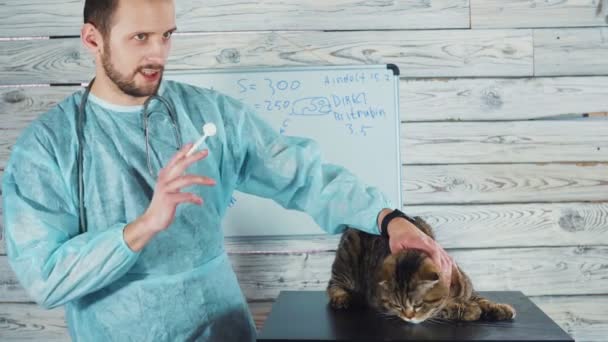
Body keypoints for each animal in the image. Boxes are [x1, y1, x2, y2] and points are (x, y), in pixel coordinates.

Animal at [328, 215, 516, 324]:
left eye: (418, 303)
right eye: (398, 305)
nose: (408, 315)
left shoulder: (466, 287)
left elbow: (482, 298)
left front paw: (497, 308)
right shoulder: (381, 303)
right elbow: (441, 309)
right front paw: (470, 309)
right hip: (346, 261)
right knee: (332, 284)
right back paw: (341, 297)